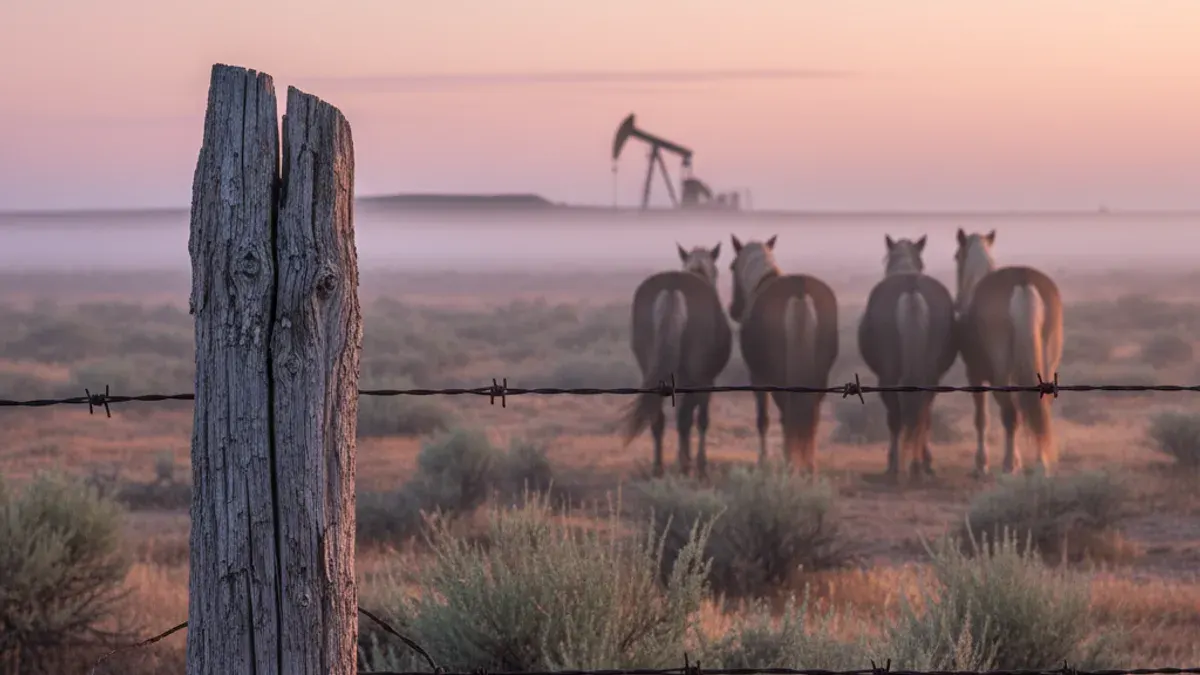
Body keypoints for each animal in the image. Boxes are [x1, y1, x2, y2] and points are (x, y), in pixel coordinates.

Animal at [620, 242, 733, 479]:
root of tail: (672, 289)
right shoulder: (706, 382)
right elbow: (700, 420)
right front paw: (698, 463)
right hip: (697, 376)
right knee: (685, 418)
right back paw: (686, 466)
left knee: (658, 418)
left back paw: (658, 468)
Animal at [727, 234, 839, 473]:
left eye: (732, 266)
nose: (733, 309)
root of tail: (799, 292)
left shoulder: (757, 377)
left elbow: (763, 419)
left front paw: (763, 461)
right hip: (819, 376)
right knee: (811, 416)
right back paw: (809, 467)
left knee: (787, 415)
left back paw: (790, 464)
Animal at [857, 235, 958, 480]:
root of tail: (911, 289)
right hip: (930, 375)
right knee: (922, 412)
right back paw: (917, 465)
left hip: (888, 376)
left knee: (896, 417)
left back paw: (897, 467)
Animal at [954, 228, 1064, 476]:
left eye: (956, 257)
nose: (957, 303)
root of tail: (1022, 282)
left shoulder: (975, 375)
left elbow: (982, 418)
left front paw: (983, 463)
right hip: (1046, 362)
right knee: (1039, 407)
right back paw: (1041, 465)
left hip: (1001, 372)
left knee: (1010, 414)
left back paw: (1007, 466)